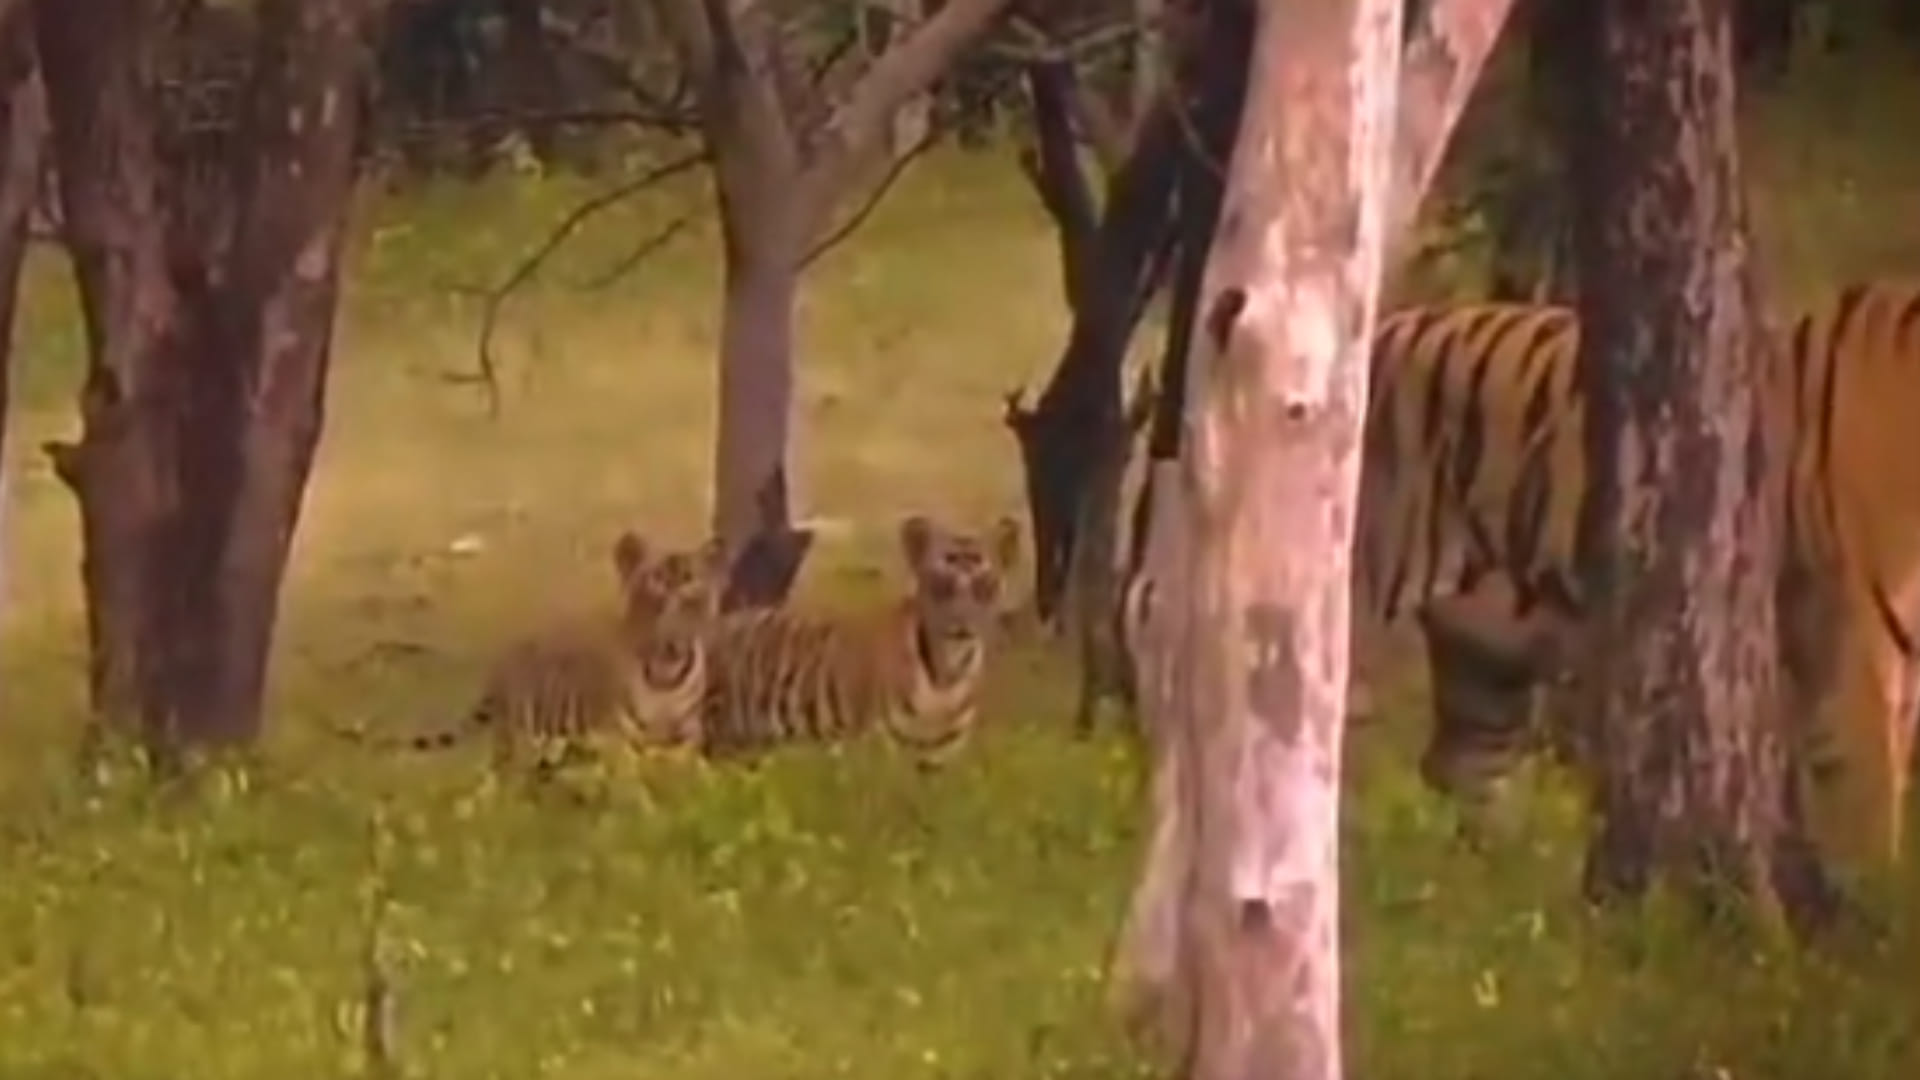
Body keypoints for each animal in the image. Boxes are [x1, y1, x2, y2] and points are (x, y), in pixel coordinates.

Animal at [329, 530, 725, 782]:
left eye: (690, 580)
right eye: (655, 582)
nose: (673, 604)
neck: (666, 668)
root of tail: (499, 665)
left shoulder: (688, 732)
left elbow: (687, 763)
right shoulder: (614, 735)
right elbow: (629, 776)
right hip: (519, 734)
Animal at [699, 514, 1022, 770]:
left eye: (984, 585)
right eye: (940, 584)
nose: (961, 624)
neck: (947, 672)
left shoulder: (938, 763)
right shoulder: (876, 752)